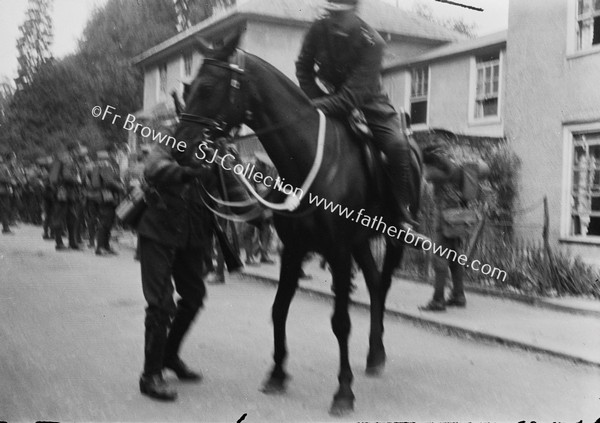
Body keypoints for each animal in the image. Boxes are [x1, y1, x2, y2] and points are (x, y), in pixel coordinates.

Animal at [175, 34, 422, 418]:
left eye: (209, 87)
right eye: (189, 87)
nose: (180, 146)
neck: (309, 160)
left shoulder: (336, 252)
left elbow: (340, 322)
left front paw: (343, 391)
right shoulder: (294, 249)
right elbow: (279, 309)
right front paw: (277, 373)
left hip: (390, 240)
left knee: (381, 284)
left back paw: (375, 354)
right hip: (360, 243)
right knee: (375, 285)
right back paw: (374, 353)